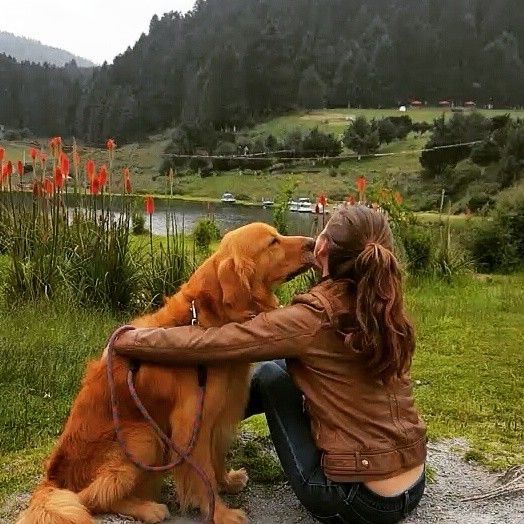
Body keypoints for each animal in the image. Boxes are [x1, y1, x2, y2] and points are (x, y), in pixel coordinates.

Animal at [18, 223, 316, 524]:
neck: (205, 322)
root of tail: (54, 478)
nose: (313, 243)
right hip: (144, 437)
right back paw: (148, 508)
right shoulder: (189, 426)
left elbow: (217, 459)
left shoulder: (218, 416)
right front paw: (219, 513)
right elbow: (204, 476)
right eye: (272, 242)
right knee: (91, 498)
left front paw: (227, 482)